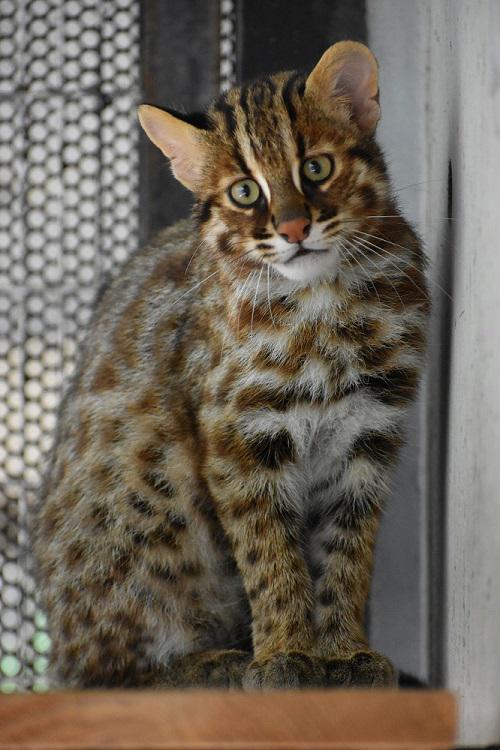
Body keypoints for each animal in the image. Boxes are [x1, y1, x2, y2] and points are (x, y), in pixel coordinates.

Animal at [34, 39, 430, 688]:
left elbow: (347, 551)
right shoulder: (239, 435)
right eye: (245, 192)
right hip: (146, 494)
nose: (294, 228)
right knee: (101, 673)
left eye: (316, 168)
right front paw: (285, 653)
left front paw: (343, 650)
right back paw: (208, 664)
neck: (323, 300)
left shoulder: (370, 428)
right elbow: (270, 553)